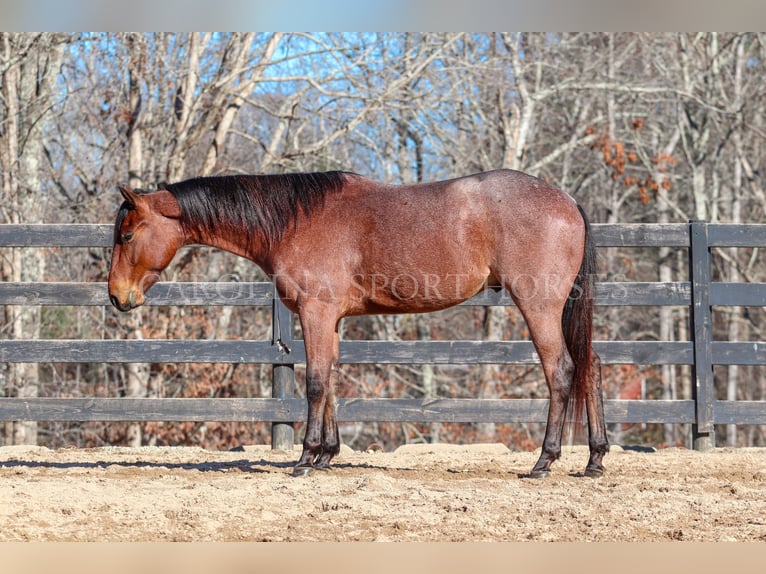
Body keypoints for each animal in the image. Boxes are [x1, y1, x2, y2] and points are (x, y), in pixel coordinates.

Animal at [109, 170, 612, 482]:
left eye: (128, 235)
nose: (117, 297)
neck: (295, 221)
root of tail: (567, 201)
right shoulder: (329, 319)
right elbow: (330, 380)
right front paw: (327, 455)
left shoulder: (314, 313)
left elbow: (314, 383)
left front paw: (305, 458)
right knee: (591, 366)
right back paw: (595, 458)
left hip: (539, 307)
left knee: (562, 372)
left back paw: (545, 460)